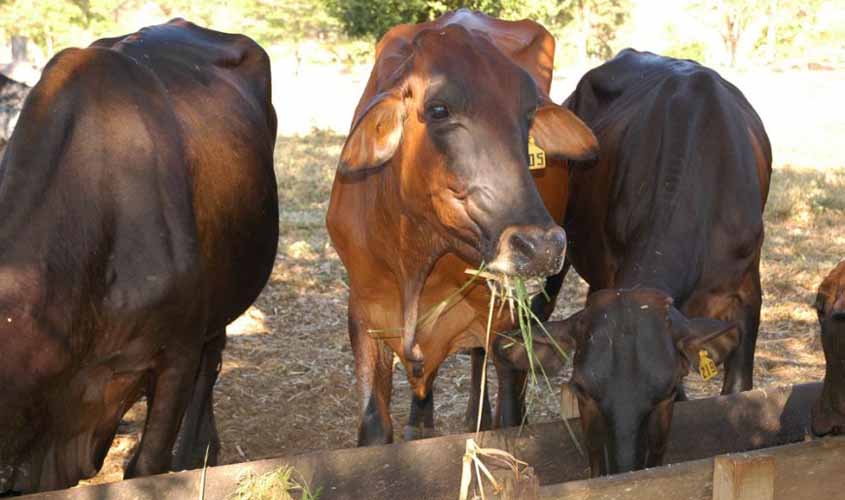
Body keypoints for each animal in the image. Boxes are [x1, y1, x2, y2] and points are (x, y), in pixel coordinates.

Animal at [326, 9, 598, 445]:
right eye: (438, 110)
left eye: (528, 115)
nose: (541, 246)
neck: (415, 254)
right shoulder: (364, 317)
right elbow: (374, 427)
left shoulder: (502, 320)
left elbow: (509, 413)